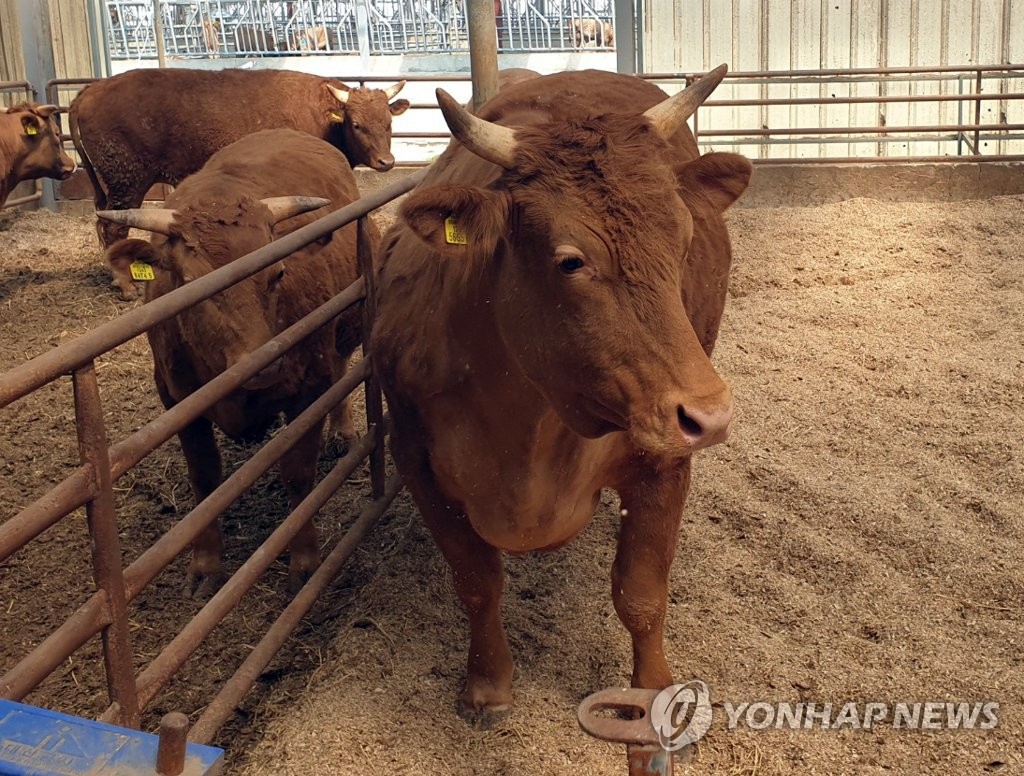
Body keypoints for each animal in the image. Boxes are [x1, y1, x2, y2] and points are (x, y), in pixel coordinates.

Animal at [97, 130, 372, 597]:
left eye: (278, 273)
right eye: (191, 282)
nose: (263, 364)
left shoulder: (309, 387)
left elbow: (298, 473)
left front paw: (304, 561)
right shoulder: (178, 401)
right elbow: (205, 479)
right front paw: (205, 565)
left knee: (341, 369)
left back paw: (343, 431)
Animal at [372, 67, 749, 728]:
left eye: (682, 239)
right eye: (571, 261)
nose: (709, 413)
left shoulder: (665, 460)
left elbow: (641, 593)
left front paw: (652, 694)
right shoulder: (415, 458)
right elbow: (477, 582)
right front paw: (487, 685)